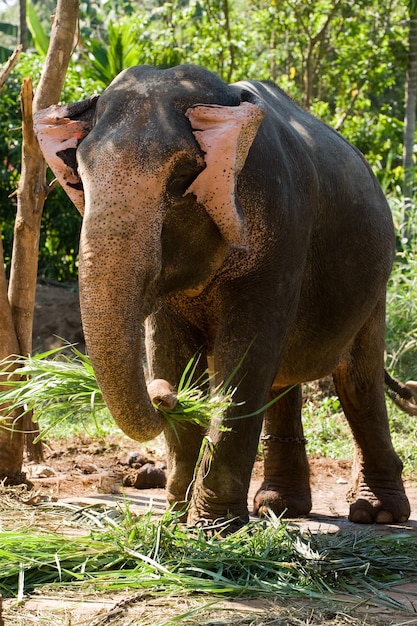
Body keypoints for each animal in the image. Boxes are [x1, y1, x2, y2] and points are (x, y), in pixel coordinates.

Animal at [35, 63, 410, 524]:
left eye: (182, 178)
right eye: (80, 178)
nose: (162, 395)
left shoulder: (284, 228)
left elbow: (246, 355)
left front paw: (212, 526)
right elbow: (169, 351)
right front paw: (177, 516)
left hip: (376, 283)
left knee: (358, 380)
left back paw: (377, 514)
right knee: (283, 380)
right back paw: (279, 507)